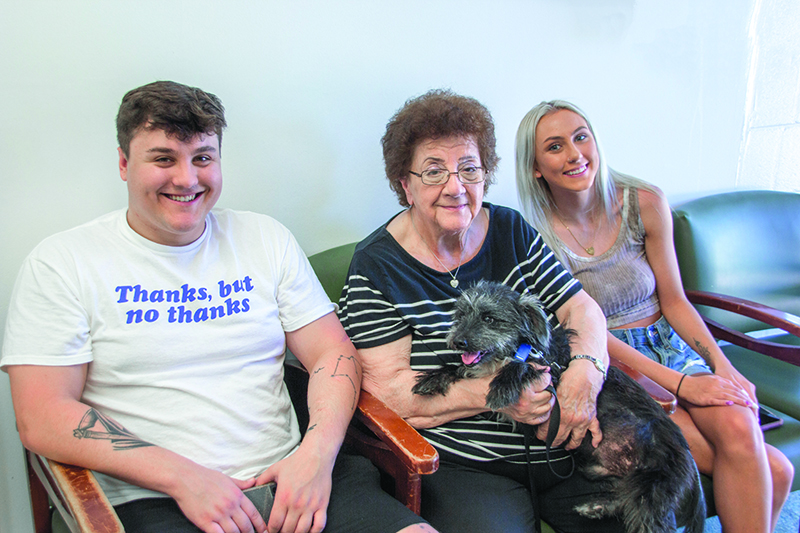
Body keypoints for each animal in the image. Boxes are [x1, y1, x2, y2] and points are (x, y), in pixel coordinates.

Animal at [416, 280, 704, 532]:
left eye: (489, 318)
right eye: (461, 314)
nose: (458, 342)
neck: (519, 347)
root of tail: (689, 459)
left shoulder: (550, 373)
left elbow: (521, 367)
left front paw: (502, 385)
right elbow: (461, 369)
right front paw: (433, 378)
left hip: (651, 490)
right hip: (613, 475)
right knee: (623, 497)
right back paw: (597, 507)